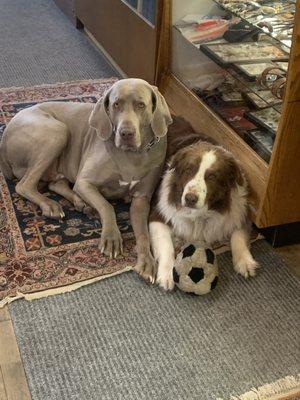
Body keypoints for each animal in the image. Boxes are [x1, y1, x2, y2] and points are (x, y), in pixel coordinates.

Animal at [0, 79, 172, 282]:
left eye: (141, 105)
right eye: (116, 104)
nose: (126, 133)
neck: (133, 155)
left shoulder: (141, 199)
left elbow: (144, 233)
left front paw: (147, 262)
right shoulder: (84, 182)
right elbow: (107, 206)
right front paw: (111, 236)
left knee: (55, 183)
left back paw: (83, 204)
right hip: (57, 131)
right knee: (25, 185)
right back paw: (51, 205)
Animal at [150, 117, 258, 290]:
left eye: (212, 176)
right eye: (188, 169)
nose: (190, 198)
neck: (200, 214)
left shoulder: (240, 208)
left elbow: (238, 234)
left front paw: (245, 261)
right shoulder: (157, 214)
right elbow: (166, 245)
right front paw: (167, 274)